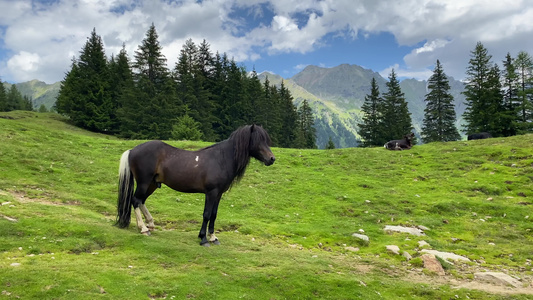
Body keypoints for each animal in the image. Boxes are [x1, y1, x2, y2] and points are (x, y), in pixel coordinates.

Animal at [116, 124, 274, 246]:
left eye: (266, 140)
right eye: (258, 140)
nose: (272, 159)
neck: (220, 159)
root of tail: (132, 150)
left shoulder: (218, 194)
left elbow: (214, 215)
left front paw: (213, 238)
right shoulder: (211, 193)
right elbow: (206, 214)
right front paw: (203, 239)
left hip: (152, 184)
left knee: (141, 201)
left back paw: (150, 224)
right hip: (144, 183)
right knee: (136, 201)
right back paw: (143, 229)